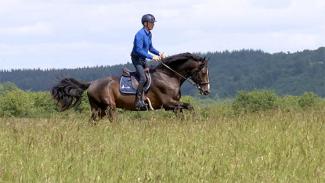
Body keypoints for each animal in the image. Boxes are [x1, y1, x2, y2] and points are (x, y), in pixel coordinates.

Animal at [49, 52, 209, 121]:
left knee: (93, 121)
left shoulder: (175, 105)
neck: (168, 76)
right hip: (109, 106)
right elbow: (190, 106)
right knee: (112, 119)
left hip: (98, 108)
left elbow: (184, 112)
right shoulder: (168, 104)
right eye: (203, 72)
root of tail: (91, 83)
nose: (206, 91)